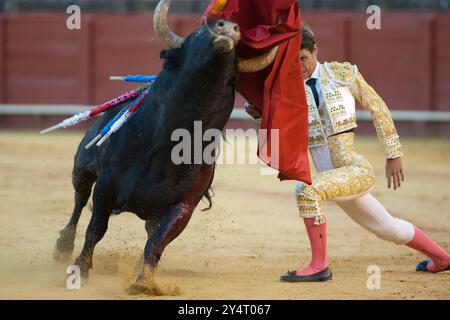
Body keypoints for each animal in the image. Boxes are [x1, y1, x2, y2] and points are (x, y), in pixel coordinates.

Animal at [53, 18, 246, 286]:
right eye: (198, 33)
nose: (226, 29)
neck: (168, 148)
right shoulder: (106, 184)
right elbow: (96, 228)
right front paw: (81, 267)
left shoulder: (182, 206)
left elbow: (157, 242)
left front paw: (145, 282)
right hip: (82, 166)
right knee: (80, 199)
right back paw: (63, 245)